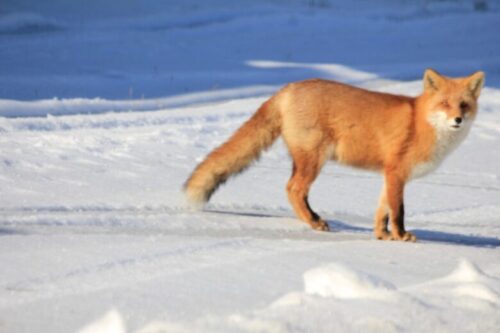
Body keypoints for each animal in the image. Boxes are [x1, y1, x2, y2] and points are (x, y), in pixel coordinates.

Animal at [184, 69, 484, 241]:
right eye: (444, 104)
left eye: (464, 105)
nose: (457, 120)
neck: (421, 123)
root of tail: (288, 87)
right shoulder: (397, 173)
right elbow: (398, 211)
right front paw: (400, 236)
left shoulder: (389, 175)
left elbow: (382, 210)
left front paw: (382, 236)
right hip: (314, 159)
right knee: (293, 189)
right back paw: (314, 222)